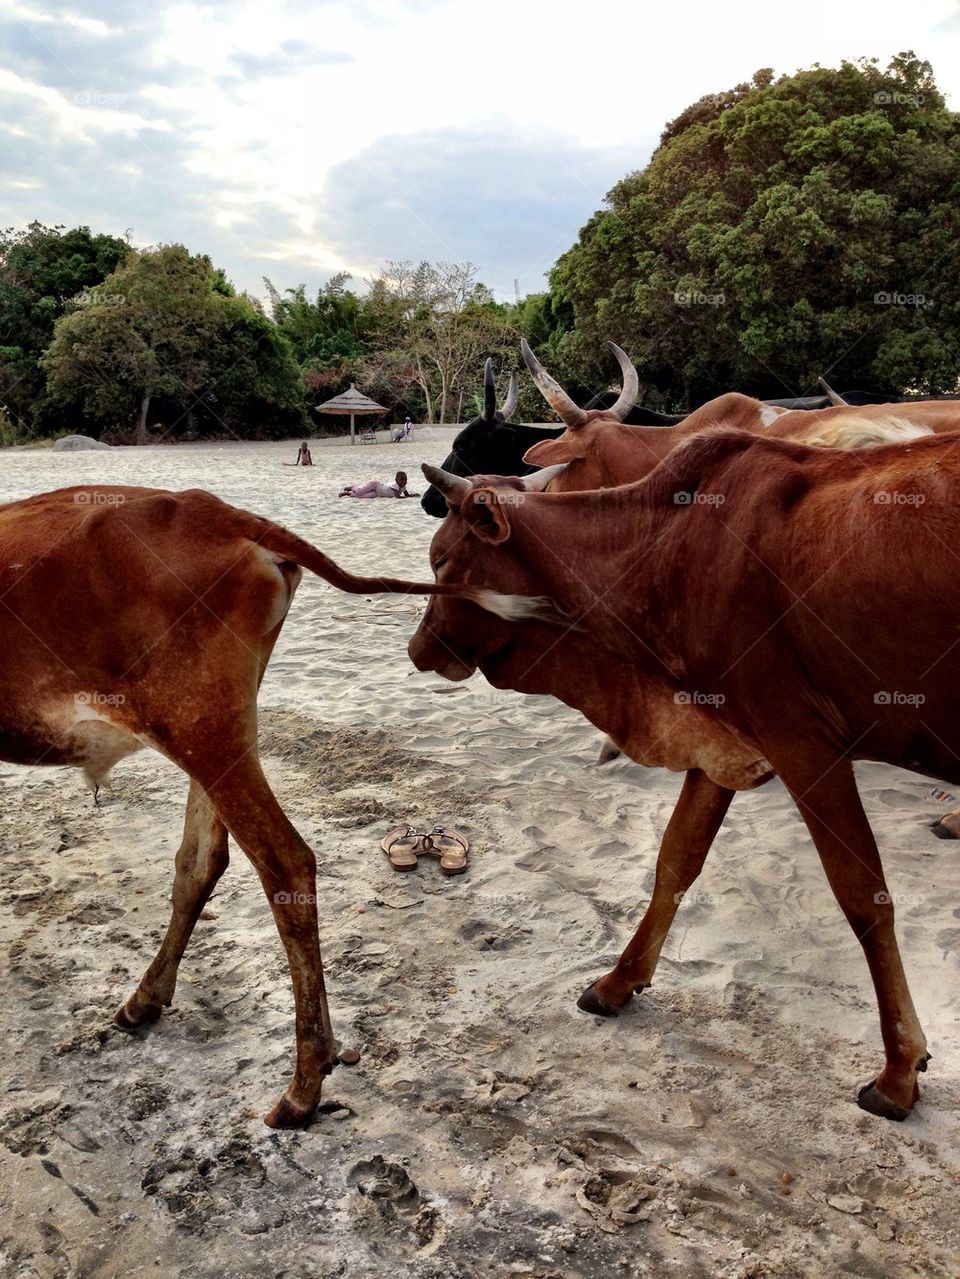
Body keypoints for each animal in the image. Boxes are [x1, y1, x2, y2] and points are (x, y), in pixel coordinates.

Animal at [0, 484, 504, 1128]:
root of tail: (219, 513)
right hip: (215, 732)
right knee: (201, 860)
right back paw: (148, 1001)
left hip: (201, 728)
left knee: (283, 862)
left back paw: (303, 1085)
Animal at [409, 427, 960, 1121]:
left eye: (441, 561)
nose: (417, 649)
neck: (665, 548)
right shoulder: (720, 733)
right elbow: (677, 855)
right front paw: (618, 981)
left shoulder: (804, 743)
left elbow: (863, 897)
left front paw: (898, 1072)